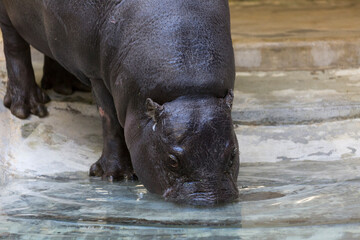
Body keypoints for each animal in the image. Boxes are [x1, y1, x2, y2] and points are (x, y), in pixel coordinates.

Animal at [0, 0, 239, 206]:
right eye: (172, 160)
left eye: (232, 154)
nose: (209, 201)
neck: (189, 93)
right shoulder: (96, 75)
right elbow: (111, 121)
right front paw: (115, 176)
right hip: (8, 18)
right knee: (14, 47)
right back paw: (27, 109)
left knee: (52, 49)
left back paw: (64, 87)